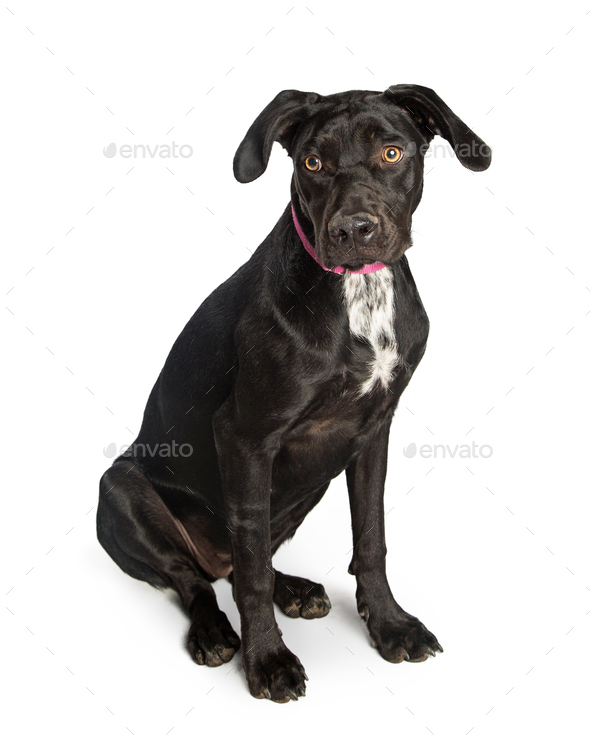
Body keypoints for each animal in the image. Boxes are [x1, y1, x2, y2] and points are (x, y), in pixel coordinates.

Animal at [97, 85, 492, 700]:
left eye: (392, 153)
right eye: (312, 163)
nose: (353, 230)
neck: (359, 295)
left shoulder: (372, 430)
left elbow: (370, 537)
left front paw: (389, 625)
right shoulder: (245, 437)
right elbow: (252, 574)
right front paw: (267, 659)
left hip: (313, 479)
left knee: (241, 558)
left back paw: (295, 589)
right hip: (120, 488)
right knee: (198, 576)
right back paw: (215, 631)